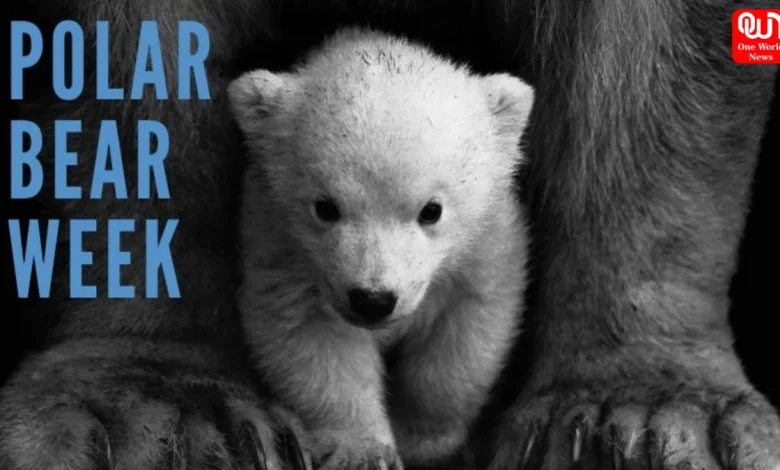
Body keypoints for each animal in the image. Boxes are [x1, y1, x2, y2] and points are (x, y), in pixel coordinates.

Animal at [227, 27, 533, 469]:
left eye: (431, 210)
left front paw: (423, 438)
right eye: (325, 207)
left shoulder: (486, 246)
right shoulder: (281, 248)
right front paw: (366, 452)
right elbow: (314, 343)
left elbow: (464, 338)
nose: (373, 300)